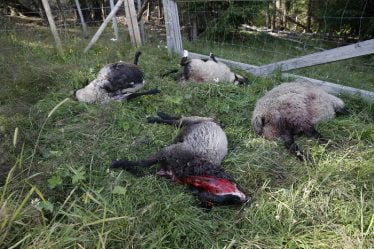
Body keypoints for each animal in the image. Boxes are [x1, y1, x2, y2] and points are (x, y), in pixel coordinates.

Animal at [109, 112, 247, 207]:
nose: (244, 199)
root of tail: (217, 124)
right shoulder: (165, 152)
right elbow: (143, 162)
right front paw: (117, 163)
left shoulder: (159, 170)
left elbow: (140, 170)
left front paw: (122, 165)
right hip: (195, 120)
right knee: (177, 120)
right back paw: (157, 116)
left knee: (177, 121)